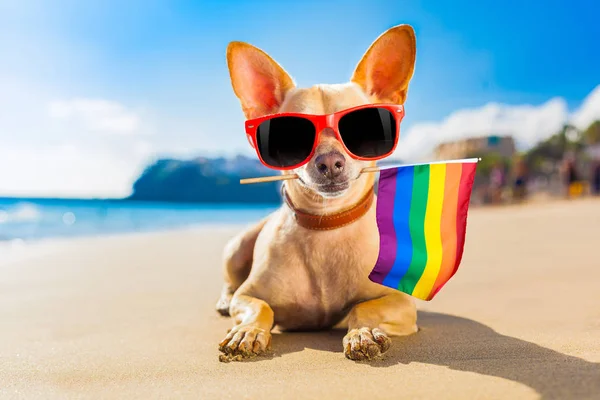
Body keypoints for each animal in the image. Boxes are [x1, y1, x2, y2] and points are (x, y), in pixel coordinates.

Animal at [218, 25, 420, 362]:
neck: (326, 224)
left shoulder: (402, 304)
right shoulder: (248, 296)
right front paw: (247, 331)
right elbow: (260, 307)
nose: (329, 161)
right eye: (290, 136)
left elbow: (364, 308)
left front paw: (362, 332)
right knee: (230, 283)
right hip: (237, 248)